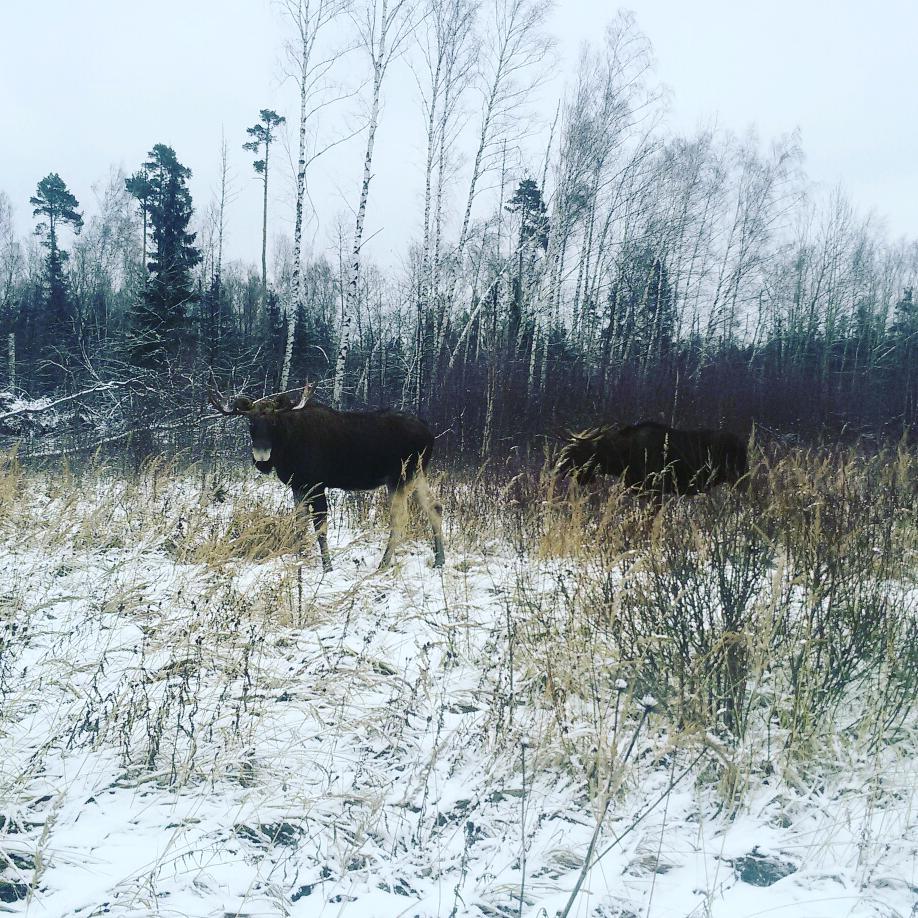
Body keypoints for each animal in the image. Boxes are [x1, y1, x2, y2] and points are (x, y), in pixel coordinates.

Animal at [213, 382, 450, 572]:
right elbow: (299, 524)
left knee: (400, 519)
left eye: (273, 422)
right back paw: (439, 560)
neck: (286, 448)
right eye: (250, 422)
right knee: (435, 507)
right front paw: (299, 557)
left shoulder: (317, 484)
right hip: (417, 475)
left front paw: (327, 566)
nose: (261, 458)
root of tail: (430, 435)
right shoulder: (298, 486)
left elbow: (320, 528)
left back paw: (383, 564)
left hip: (400, 478)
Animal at [556, 422, 752, 500]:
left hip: (739, 478)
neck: (621, 458)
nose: (559, 468)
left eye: (576, 451)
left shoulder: (655, 490)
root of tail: (743, 445)